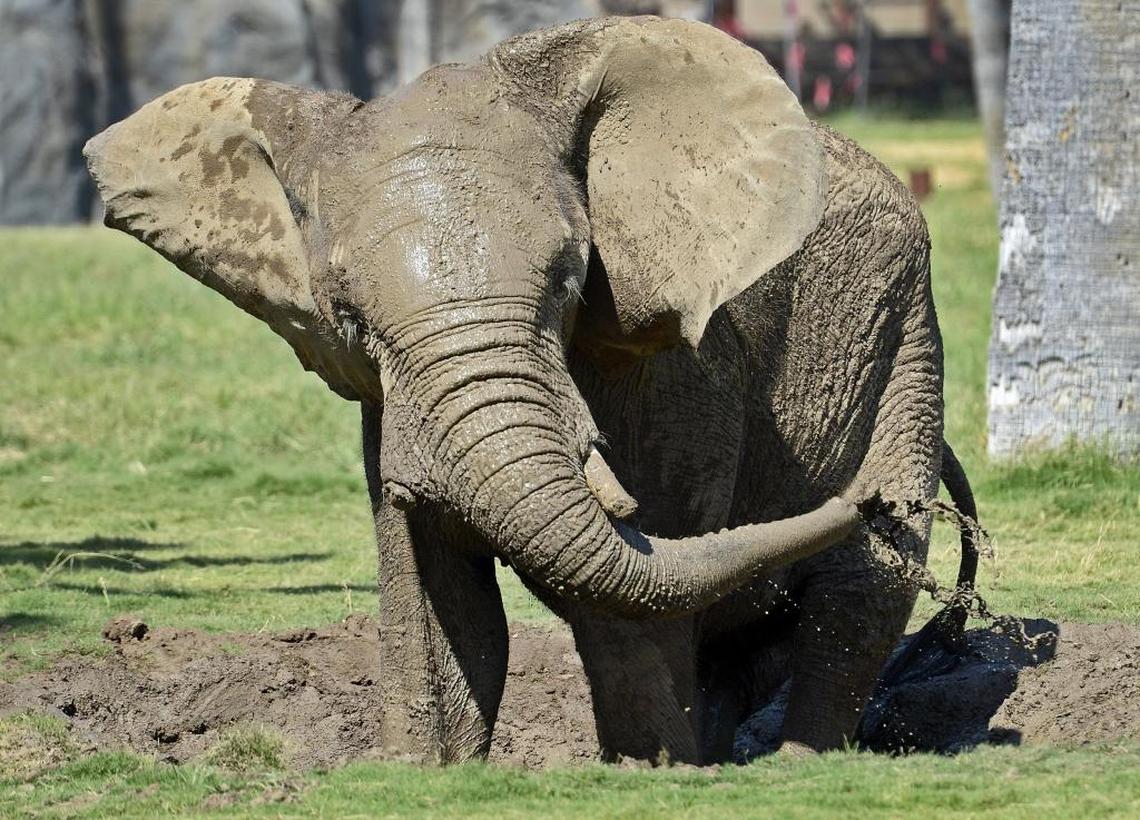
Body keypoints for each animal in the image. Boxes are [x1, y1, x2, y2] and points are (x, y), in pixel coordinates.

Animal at [84, 17, 978, 764]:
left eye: (568, 281)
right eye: (347, 316)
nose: (866, 498)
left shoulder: (679, 371)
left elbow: (647, 561)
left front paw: (652, 772)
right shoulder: (391, 402)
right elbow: (434, 587)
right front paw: (424, 774)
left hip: (904, 328)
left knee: (862, 596)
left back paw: (796, 759)